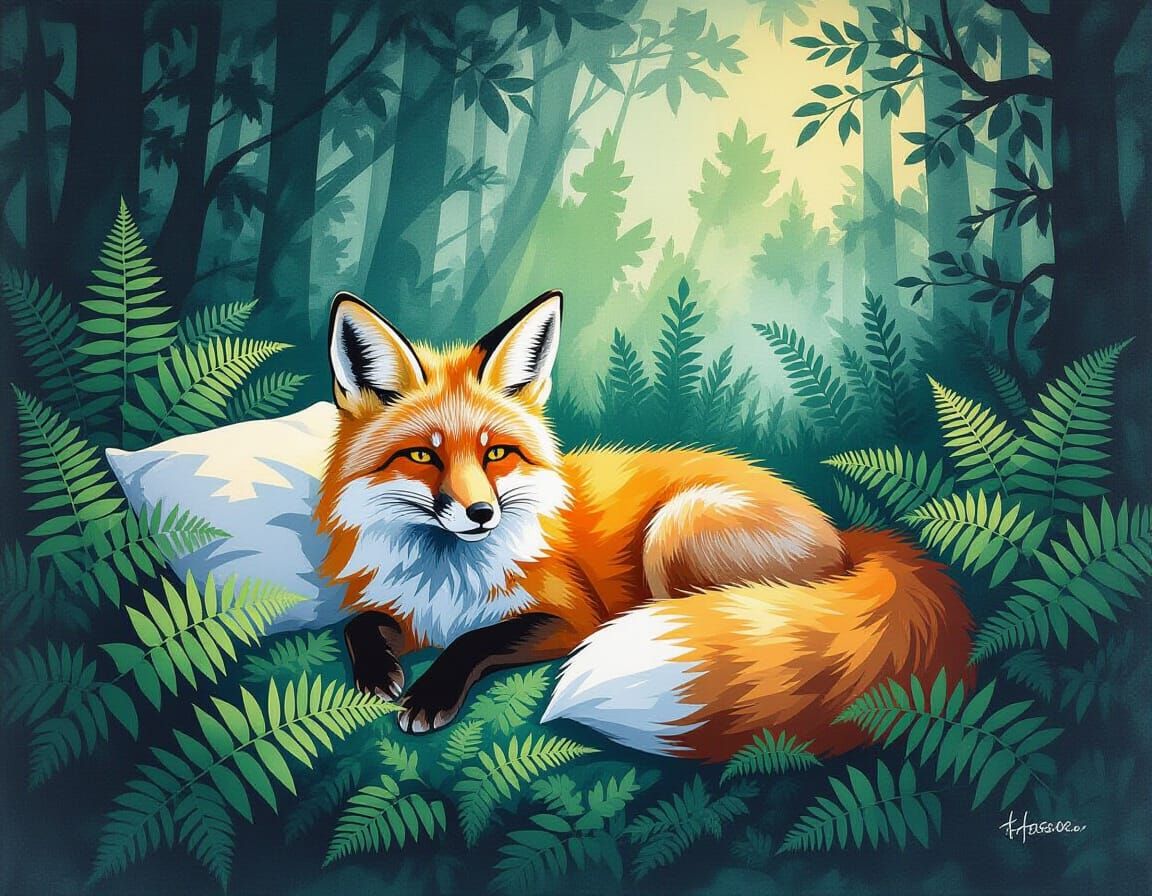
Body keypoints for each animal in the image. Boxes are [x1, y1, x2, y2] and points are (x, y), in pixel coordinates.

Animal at [315, 289, 974, 761]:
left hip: (674, 530)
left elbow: (476, 640)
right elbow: (359, 623)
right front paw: (378, 672)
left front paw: (430, 693)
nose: (481, 514)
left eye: (496, 453)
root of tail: (843, 535)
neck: (448, 580)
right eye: (421, 457)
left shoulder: (569, 616)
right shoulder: (407, 610)